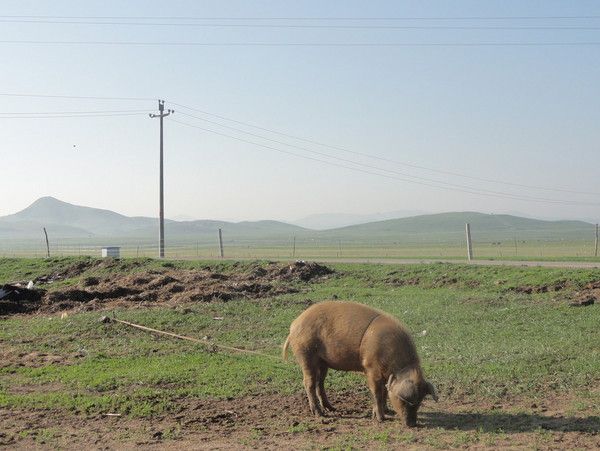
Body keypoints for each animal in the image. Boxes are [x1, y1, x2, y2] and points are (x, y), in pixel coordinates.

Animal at [284, 302, 438, 426]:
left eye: (419, 402)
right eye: (404, 400)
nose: (412, 424)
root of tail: (294, 325)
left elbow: (384, 392)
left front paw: (388, 411)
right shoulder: (371, 369)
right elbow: (377, 393)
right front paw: (381, 419)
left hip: (322, 362)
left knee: (319, 383)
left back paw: (332, 408)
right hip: (306, 354)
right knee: (308, 382)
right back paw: (320, 414)